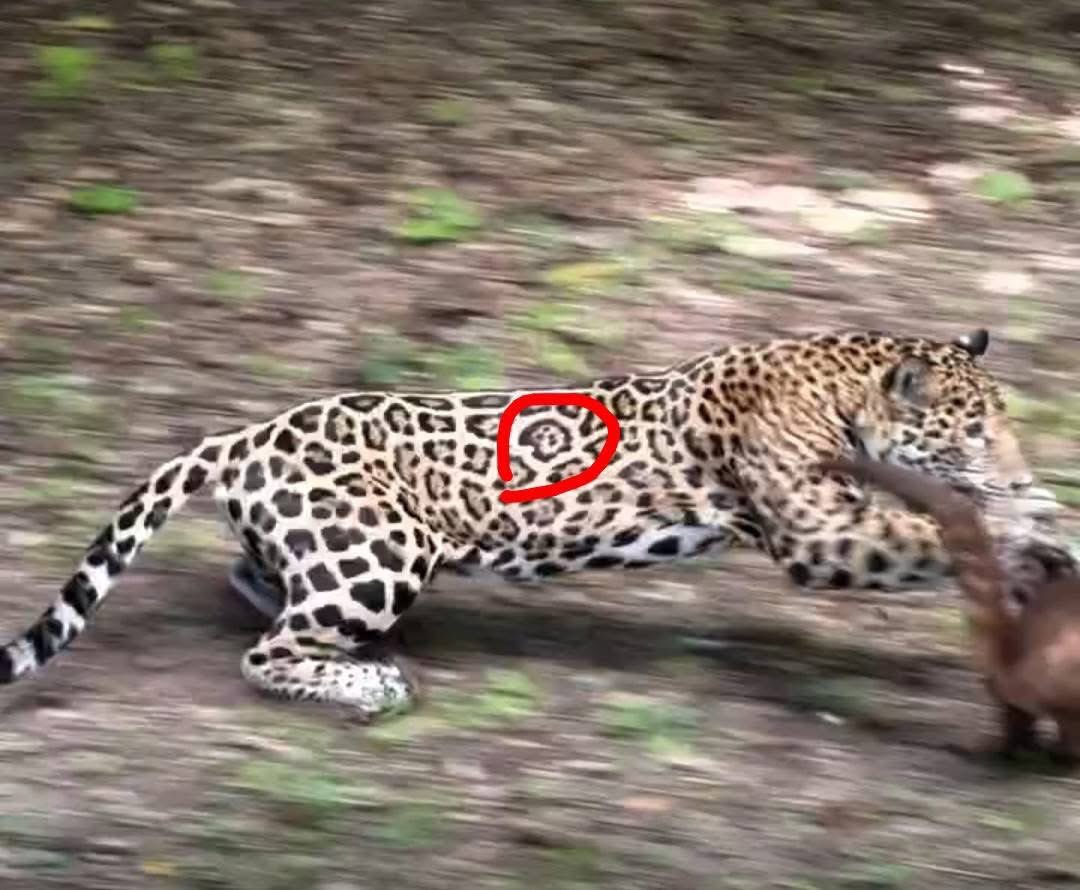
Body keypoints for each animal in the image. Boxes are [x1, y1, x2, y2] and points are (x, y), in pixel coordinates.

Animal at [0, 327, 1063, 720]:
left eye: (1003, 423)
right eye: (975, 428)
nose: (1018, 463)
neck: (843, 376)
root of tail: (242, 434)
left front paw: (1042, 519)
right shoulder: (820, 533)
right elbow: (935, 531)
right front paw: (1017, 530)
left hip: (339, 553)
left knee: (258, 586)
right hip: (383, 551)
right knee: (269, 653)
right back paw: (371, 685)